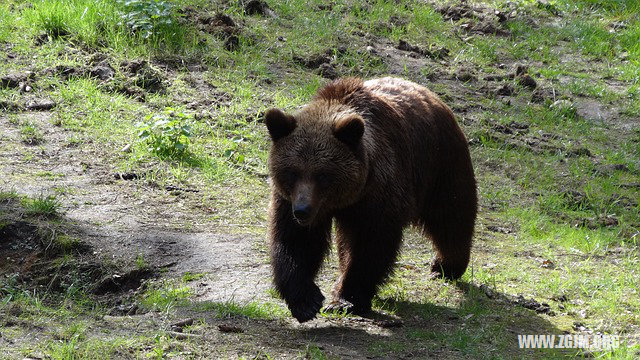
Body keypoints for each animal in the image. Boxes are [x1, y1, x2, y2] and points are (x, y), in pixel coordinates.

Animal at [262, 77, 478, 322]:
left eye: (322, 175)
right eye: (292, 172)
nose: (302, 210)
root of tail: (427, 92)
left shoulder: (378, 195)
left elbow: (371, 246)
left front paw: (346, 298)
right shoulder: (289, 200)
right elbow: (296, 242)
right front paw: (306, 301)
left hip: (441, 165)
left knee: (451, 216)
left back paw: (445, 265)